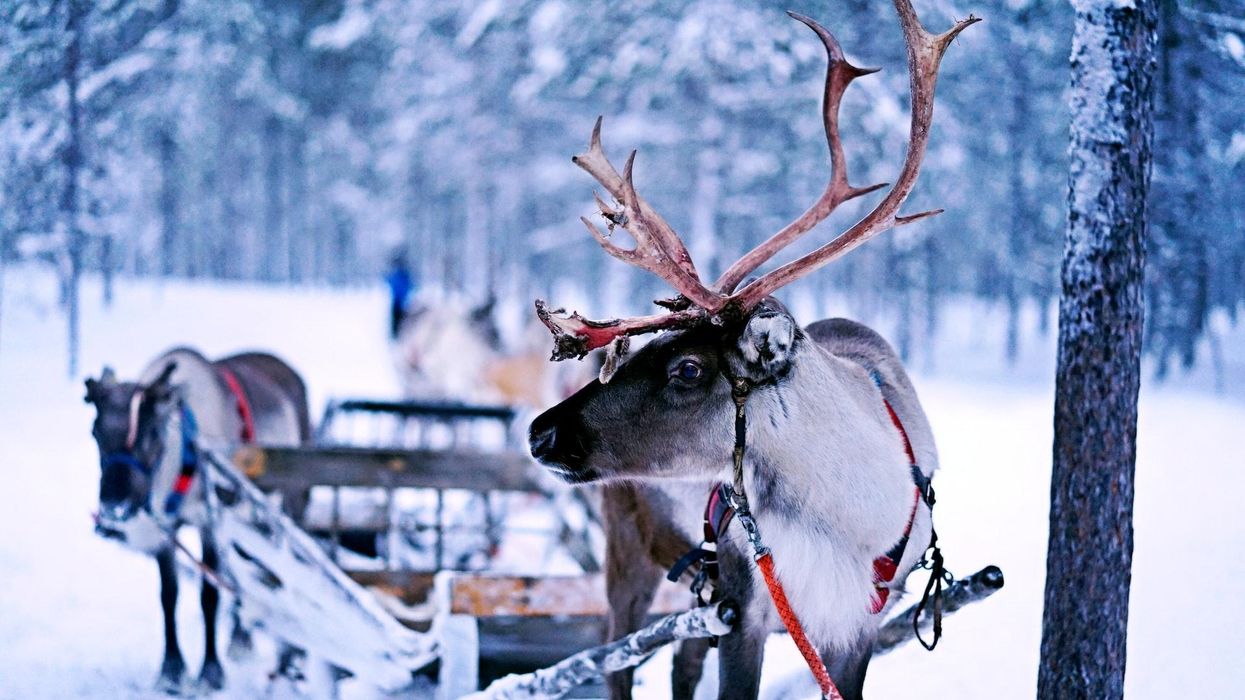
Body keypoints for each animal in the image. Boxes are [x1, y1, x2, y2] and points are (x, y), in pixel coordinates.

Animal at [526, 4, 977, 699]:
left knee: (680, 662)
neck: (846, 521)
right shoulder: (745, 603)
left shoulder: (856, 624)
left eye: (687, 369)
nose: (540, 433)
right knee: (615, 657)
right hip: (629, 553)